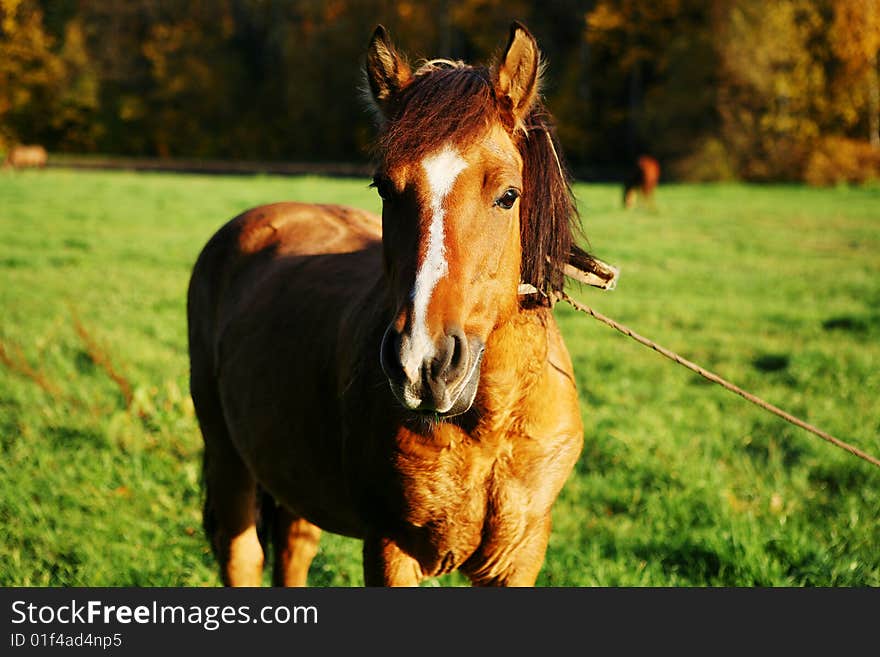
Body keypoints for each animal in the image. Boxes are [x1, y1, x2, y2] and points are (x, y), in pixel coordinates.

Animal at [187, 21, 604, 584]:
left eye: (508, 195)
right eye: (385, 188)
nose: (423, 363)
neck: (490, 425)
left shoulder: (519, 557)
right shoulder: (391, 548)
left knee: (294, 546)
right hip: (226, 453)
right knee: (242, 553)